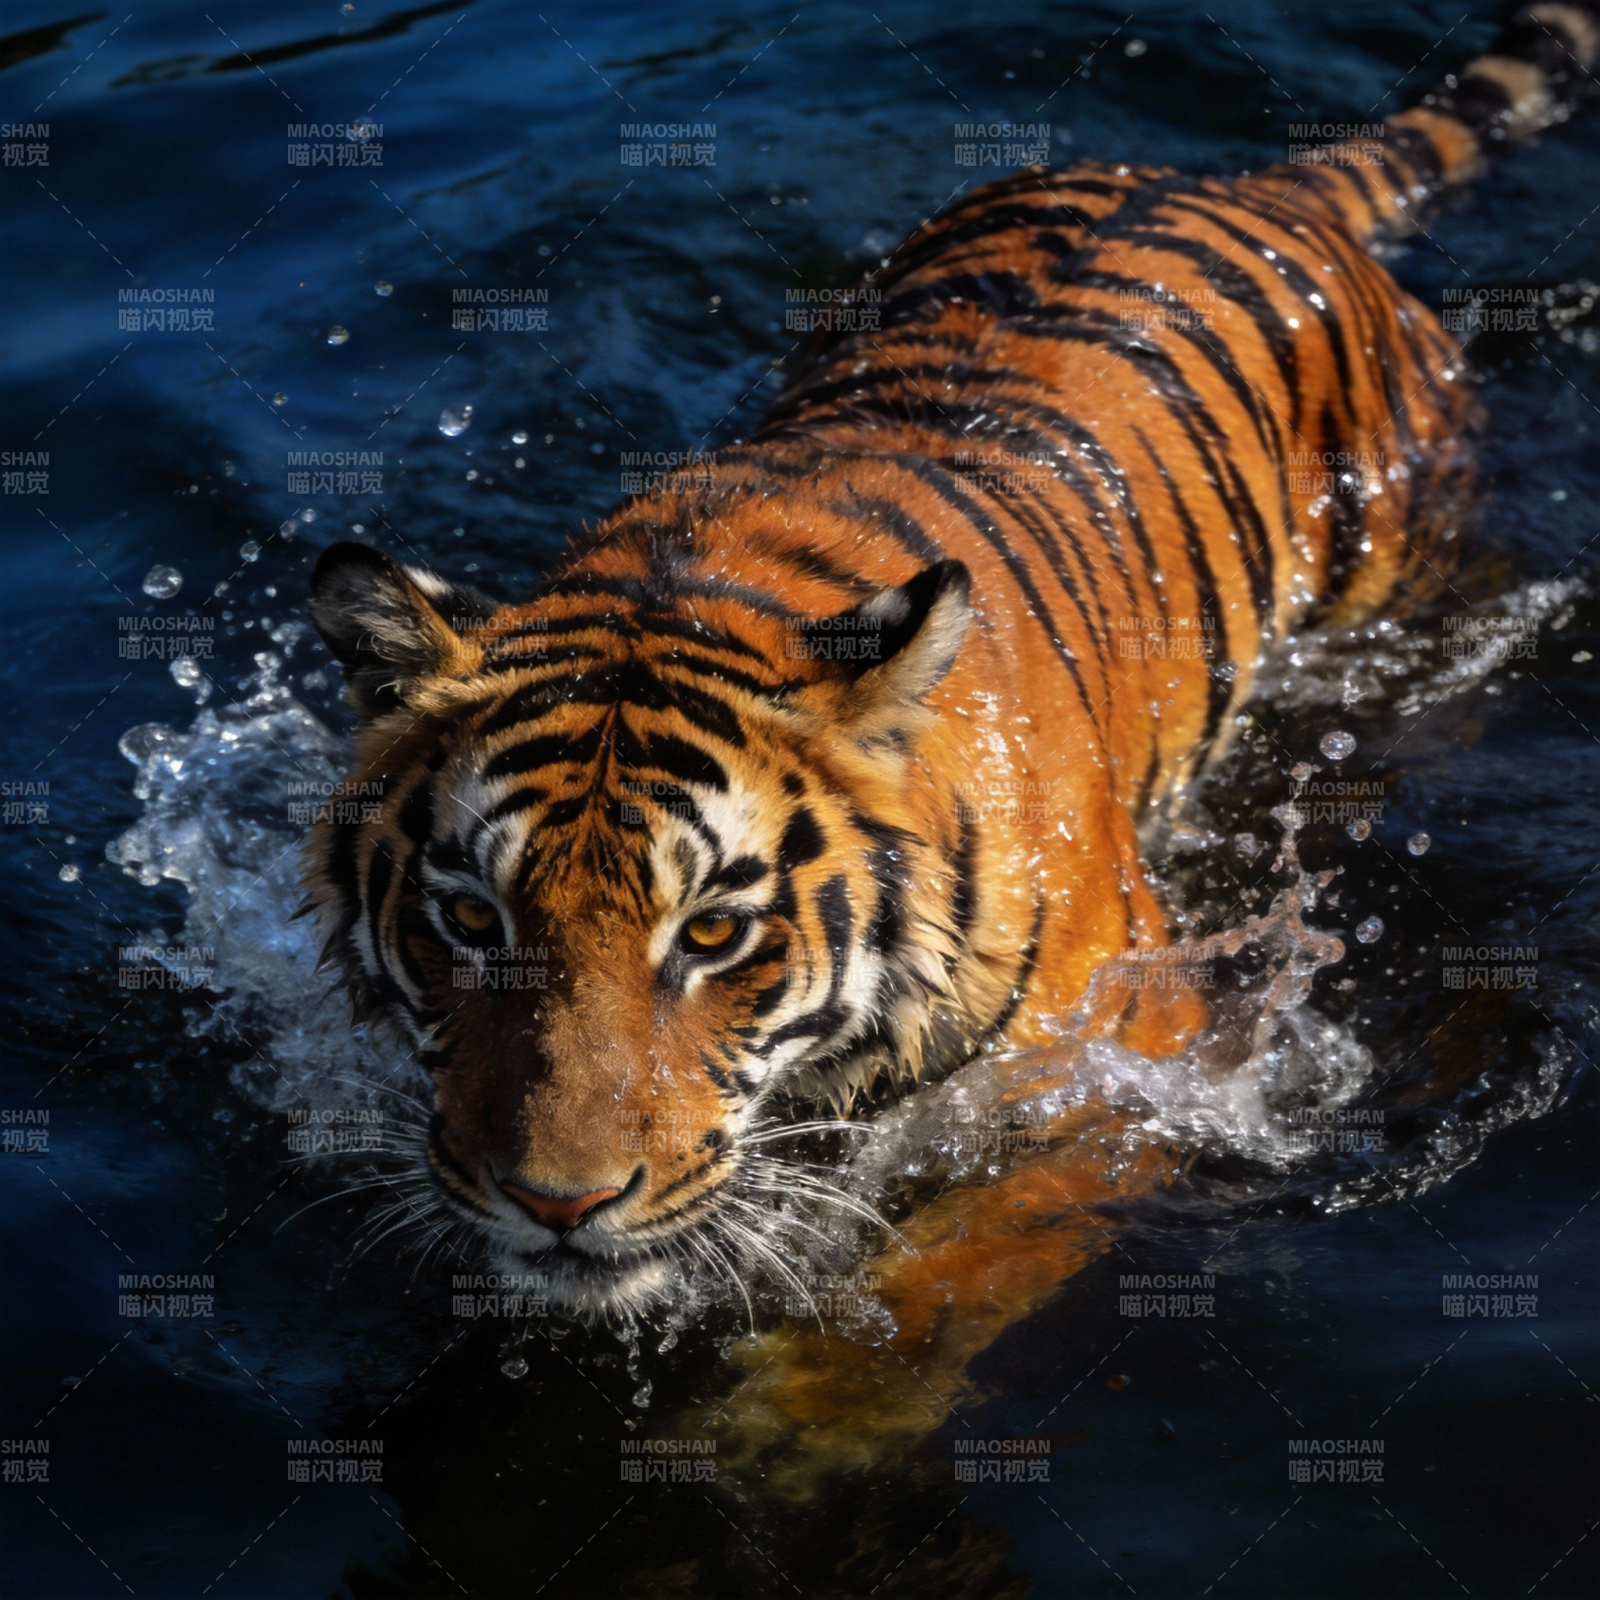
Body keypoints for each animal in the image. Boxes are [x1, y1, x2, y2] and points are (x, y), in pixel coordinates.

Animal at [305, 0, 1599, 1347]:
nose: (557, 1202)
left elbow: (932, 1280)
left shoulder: (1116, 1075)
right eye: (469, 919)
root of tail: (1245, 181)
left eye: (712, 932)